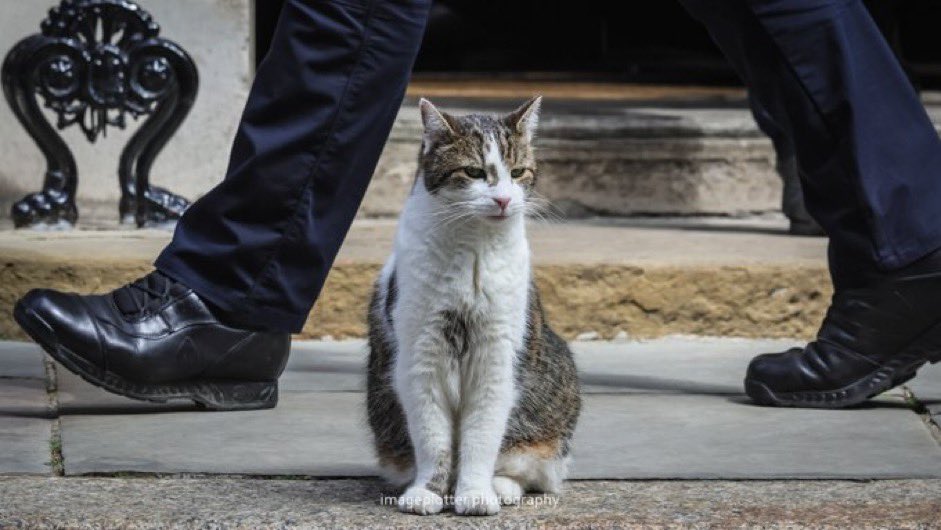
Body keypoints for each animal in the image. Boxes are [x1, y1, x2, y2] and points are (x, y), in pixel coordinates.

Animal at [366, 97, 580, 512]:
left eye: (518, 172)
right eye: (474, 172)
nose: (503, 199)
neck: (472, 249)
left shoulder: (495, 358)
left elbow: (481, 437)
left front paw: (476, 493)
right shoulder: (422, 356)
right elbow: (433, 439)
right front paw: (427, 493)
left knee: (530, 469)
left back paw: (501, 487)